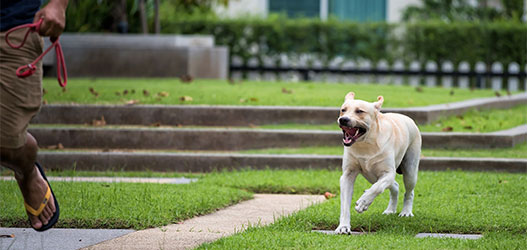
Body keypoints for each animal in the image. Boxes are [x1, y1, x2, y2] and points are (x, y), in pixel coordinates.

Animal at [336, 92, 422, 234]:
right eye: (343, 110)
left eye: (359, 111)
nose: (343, 119)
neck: (366, 144)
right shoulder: (348, 175)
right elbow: (344, 204)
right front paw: (343, 226)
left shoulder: (388, 173)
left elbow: (377, 188)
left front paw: (363, 202)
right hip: (372, 176)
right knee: (395, 186)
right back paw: (390, 210)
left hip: (410, 169)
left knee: (409, 191)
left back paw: (406, 212)